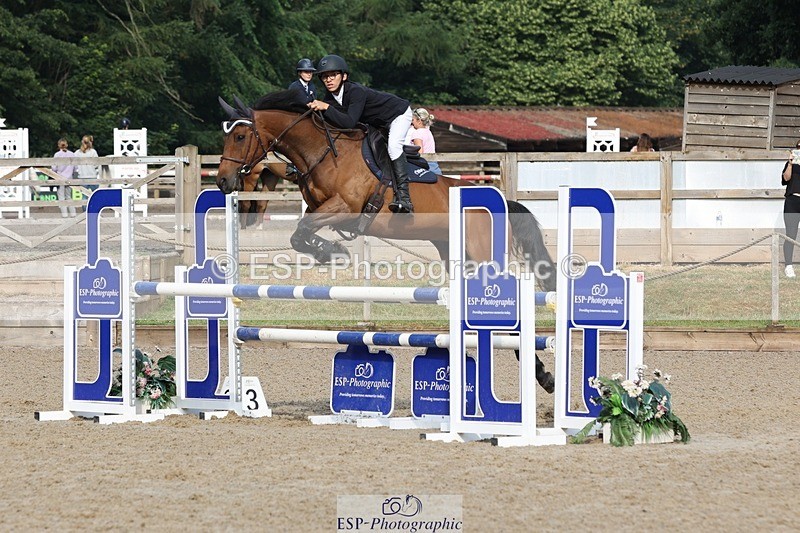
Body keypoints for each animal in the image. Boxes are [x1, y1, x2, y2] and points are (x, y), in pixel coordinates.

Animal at [216, 90, 557, 392]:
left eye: (241, 137)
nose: (223, 181)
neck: (322, 152)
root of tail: (501, 200)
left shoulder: (344, 208)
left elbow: (302, 229)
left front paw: (334, 252)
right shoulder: (322, 209)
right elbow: (300, 233)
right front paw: (330, 252)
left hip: (483, 255)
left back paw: (542, 374)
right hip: (457, 255)